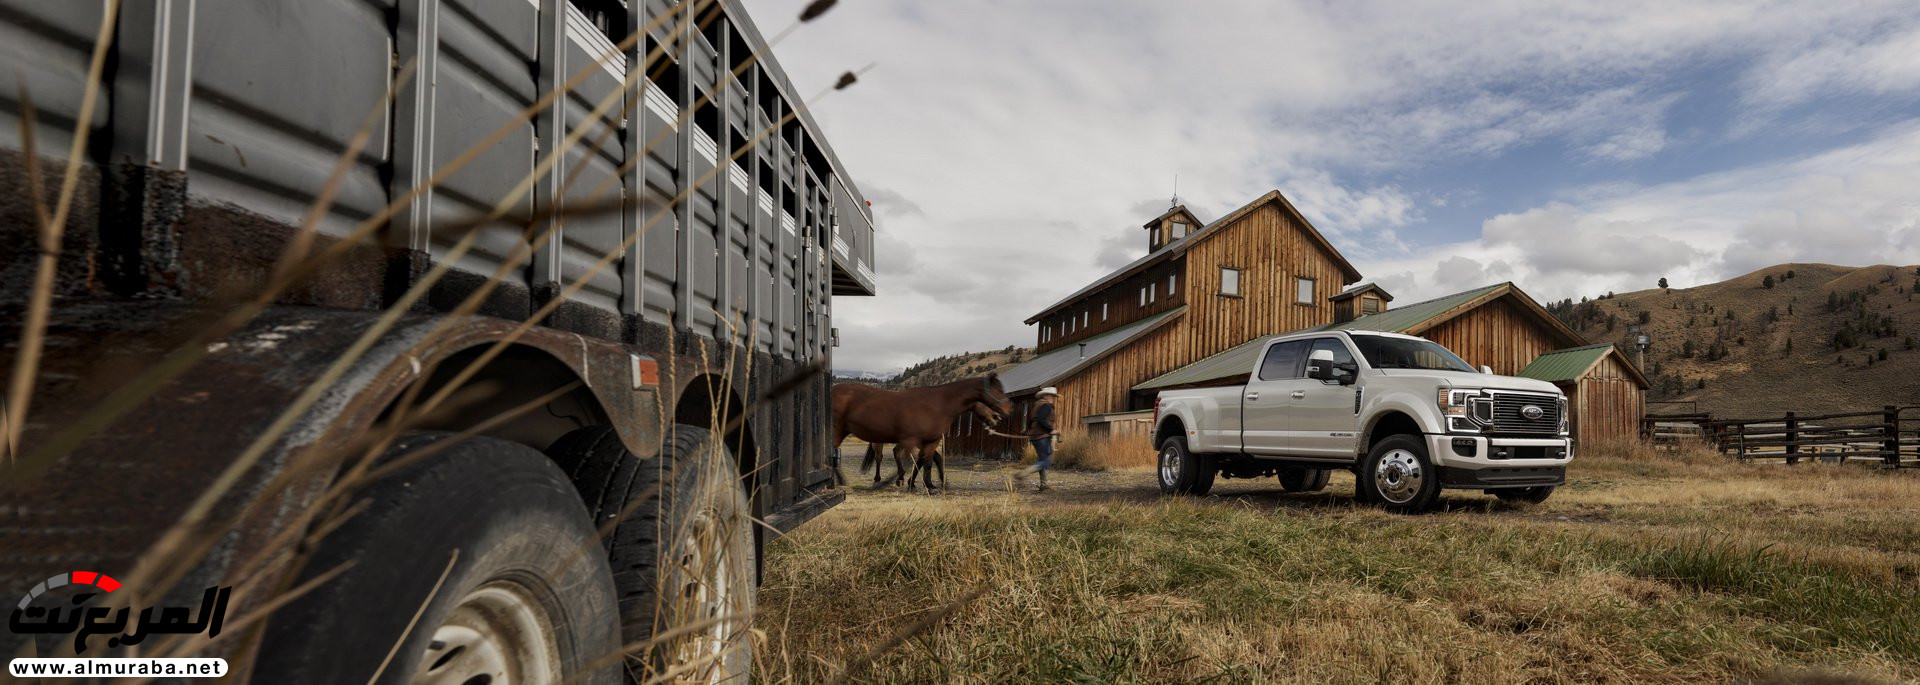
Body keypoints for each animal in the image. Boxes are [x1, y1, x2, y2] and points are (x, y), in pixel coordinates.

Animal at [829, 374, 1013, 491]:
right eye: (998, 390)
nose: (1005, 411)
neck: (939, 404)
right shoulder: (912, 440)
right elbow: (907, 460)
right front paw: (903, 481)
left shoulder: (930, 441)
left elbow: (927, 462)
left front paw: (928, 484)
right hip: (843, 433)